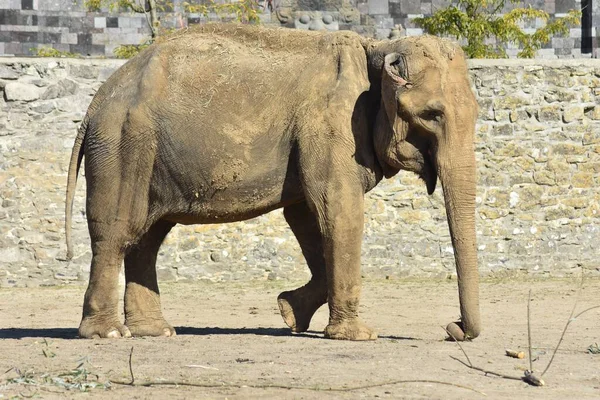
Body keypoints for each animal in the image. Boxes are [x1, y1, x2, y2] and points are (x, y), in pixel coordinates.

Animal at [65, 22, 480, 340]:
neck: (375, 48)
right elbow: (338, 211)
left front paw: (289, 313)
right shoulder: (332, 127)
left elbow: (307, 216)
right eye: (432, 114)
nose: (452, 328)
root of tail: (95, 103)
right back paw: (108, 334)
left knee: (147, 238)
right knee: (118, 231)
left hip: (149, 154)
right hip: (124, 145)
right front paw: (359, 336)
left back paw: (156, 332)